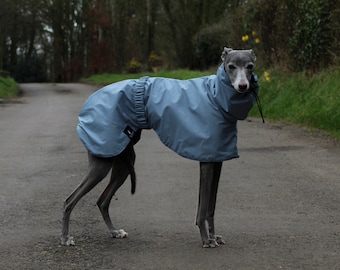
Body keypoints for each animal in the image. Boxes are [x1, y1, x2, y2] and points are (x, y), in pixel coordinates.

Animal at [61, 47, 258, 247]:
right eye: (231, 66)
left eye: (250, 66)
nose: (242, 86)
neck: (215, 96)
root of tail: (89, 103)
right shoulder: (207, 162)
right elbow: (203, 208)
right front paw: (206, 239)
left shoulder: (216, 160)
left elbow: (211, 207)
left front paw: (213, 236)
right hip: (101, 162)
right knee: (69, 200)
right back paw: (65, 237)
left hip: (122, 163)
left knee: (102, 201)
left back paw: (115, 232)